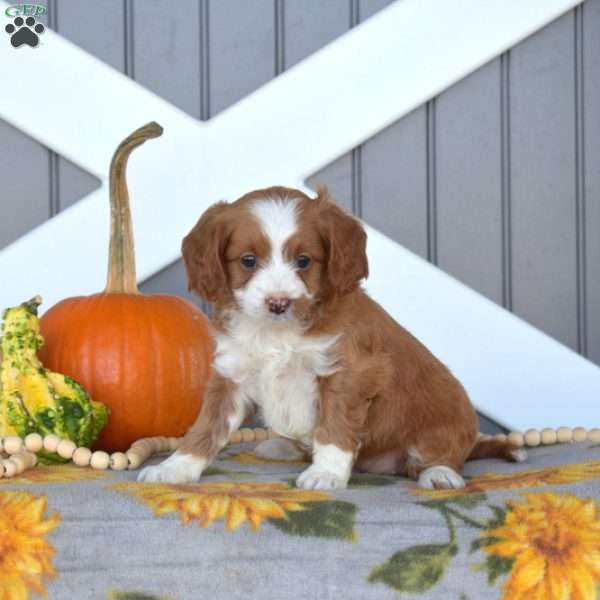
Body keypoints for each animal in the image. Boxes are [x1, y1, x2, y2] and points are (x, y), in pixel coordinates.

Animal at [138, 186, 524, 488]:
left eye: (304, 261)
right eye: (248, 260)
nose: (278, 302)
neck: (277, 331)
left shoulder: (346, 372)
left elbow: (334, 428)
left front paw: (325, 474)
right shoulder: (231, 376)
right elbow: (205, 428)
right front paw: (174, 468)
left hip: (443, 423)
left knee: (441, 455)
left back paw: (439, 473)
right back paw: (283, 446)